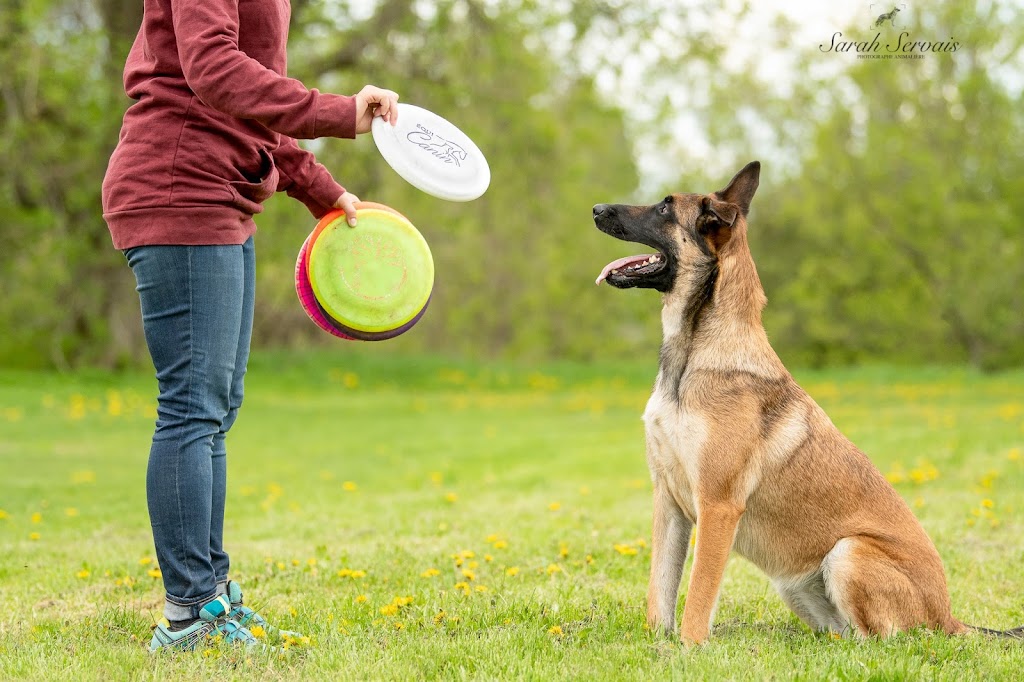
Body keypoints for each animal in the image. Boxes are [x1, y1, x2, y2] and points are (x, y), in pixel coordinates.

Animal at [589, 160, 1019, 643]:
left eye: (664, 206)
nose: (596, 209)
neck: (693, 356)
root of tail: (948, 616)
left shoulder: (718, 507)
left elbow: (697, 599)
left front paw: (688, 648)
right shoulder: (668, 501)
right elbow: (659, 593)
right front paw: (657, 645)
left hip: (848, 551)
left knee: (885, 642)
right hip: (795, 585)